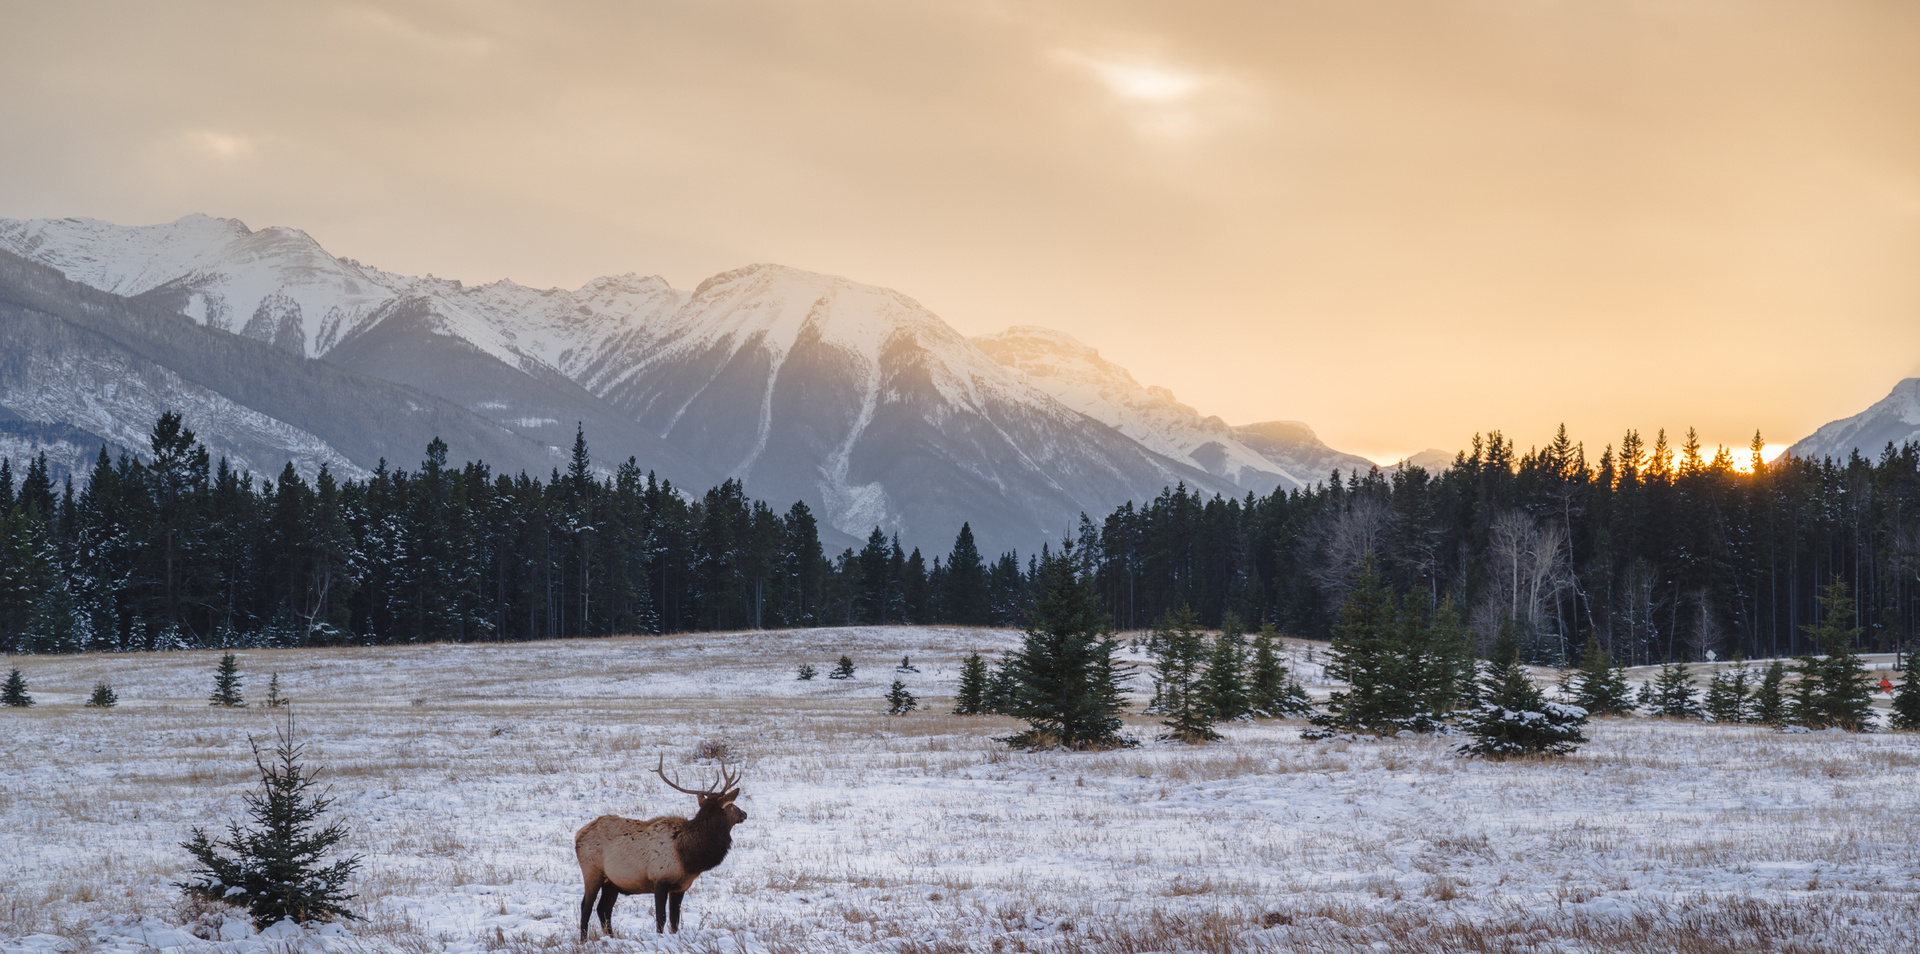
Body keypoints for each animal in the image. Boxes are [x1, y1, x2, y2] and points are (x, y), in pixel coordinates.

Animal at [572, 752, 744, 936]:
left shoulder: (680, 887)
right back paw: (584, 940)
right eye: (732, 805)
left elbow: (675, 922)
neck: (689, 857)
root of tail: (578, 835)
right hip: (592, 871)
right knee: (586, 907)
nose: (744, 813)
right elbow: (661, 918)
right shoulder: (660, 879)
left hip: (612, 882)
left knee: (603, 909)